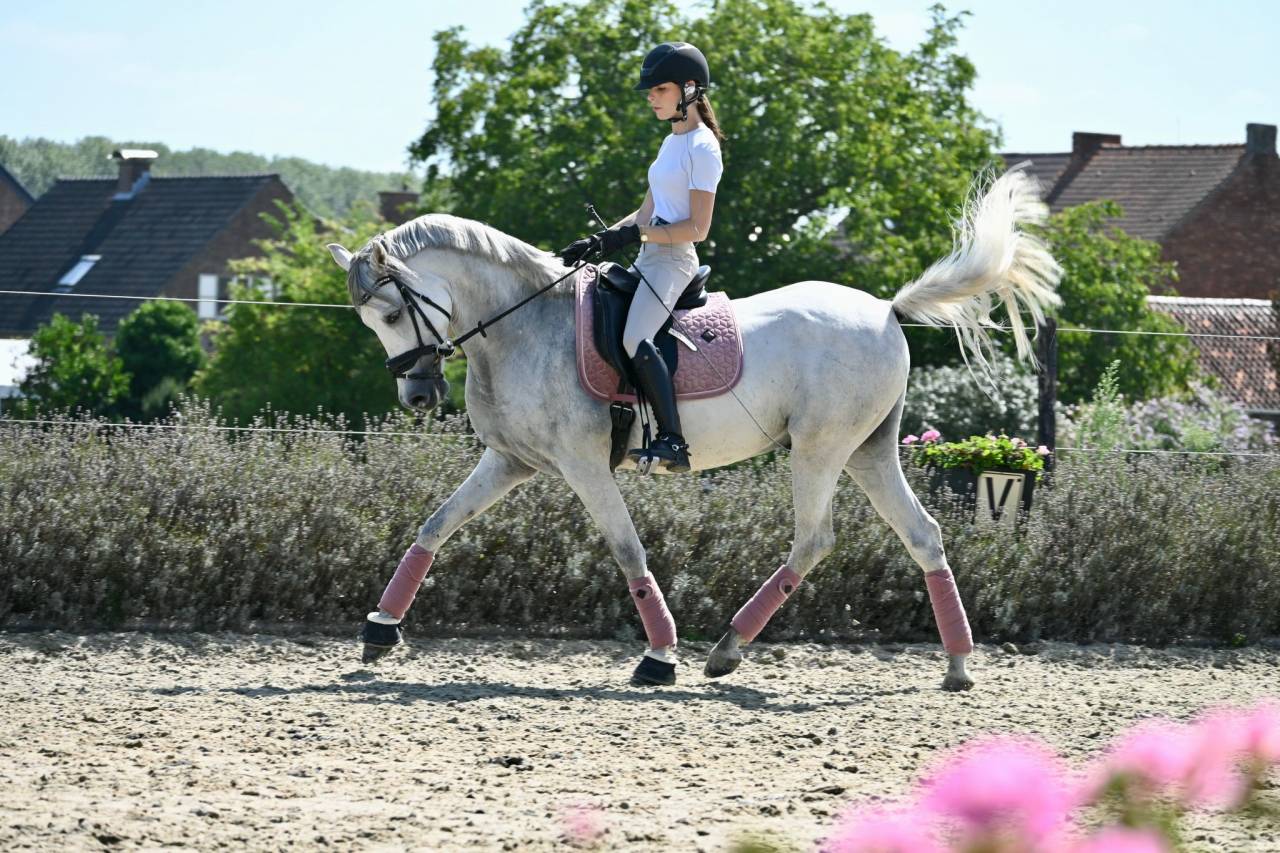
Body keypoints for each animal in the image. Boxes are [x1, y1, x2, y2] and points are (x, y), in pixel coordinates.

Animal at [326, 165, 1062, 690]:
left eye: (390, 311)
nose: (418, 394)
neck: (523, 325)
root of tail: (885, 308)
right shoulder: (512, 459)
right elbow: (435, 525)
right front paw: (380, 628)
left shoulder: (582, 465)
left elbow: (628, 551)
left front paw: (659, 656)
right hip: (869, 451)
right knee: (923, 533)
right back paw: (957, 664)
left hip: (820, 448)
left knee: (815, 539)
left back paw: (726, 649)